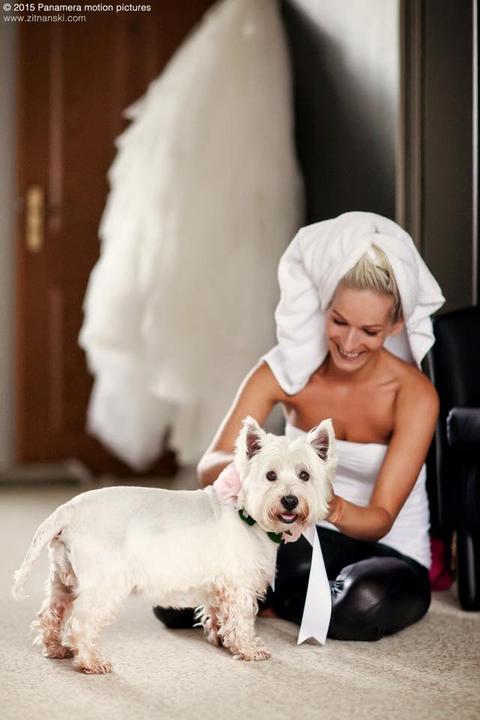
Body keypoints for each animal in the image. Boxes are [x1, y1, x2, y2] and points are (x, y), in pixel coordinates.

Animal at [12, 416, 336, 673]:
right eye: (270, 475)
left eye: (305, 475)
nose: (290, 501)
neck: (247, 515)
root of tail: (68, 510)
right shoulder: (239, 585)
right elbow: (242, 619)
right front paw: (249, 649)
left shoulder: (218, 585)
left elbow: (218, 614)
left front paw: (220, 639)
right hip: (103, 584)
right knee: (81, 623)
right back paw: (91, 662)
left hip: (63, 579)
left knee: (50, 614)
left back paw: (56, 649)